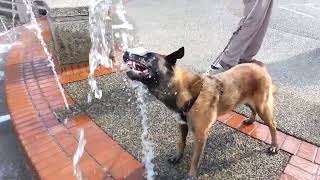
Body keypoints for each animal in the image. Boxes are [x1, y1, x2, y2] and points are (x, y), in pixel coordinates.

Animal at [122, 46, 278, 179]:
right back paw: (251, 119)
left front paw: (191, 175)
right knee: (253, 110)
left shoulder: (201, 136)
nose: (125, 53)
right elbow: (181, 142)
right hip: (248, 101)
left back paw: (274, 146)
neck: (185, 91)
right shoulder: (182, 124)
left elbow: (194, 159)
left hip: (263, 107)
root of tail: (259, 66)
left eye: (149, 56)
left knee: (273, 125)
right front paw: (177, 156)